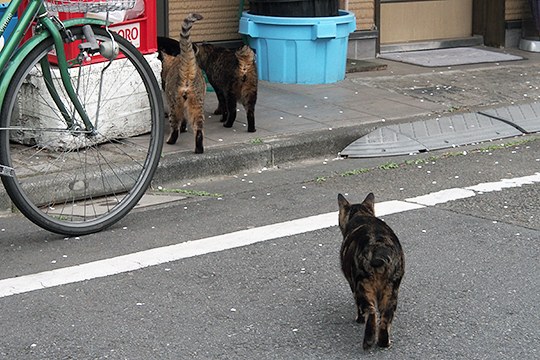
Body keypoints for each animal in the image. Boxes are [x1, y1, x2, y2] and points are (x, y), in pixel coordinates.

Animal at [161, 12, 206, 153]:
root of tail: (187, 71)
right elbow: (185, 118)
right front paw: (184, 126)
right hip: (197, 101)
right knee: (198, 127)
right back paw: (199, 147)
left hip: (175, 102)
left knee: (175, 124)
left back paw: (171, 140)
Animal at [338, 193, 404, 350]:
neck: (362, 215)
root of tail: (379, 249)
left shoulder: (353, 284)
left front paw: (359, 319)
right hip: (391, 291)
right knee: (385, 318)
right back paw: (383, 343)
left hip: (363, 286)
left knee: (371, 312)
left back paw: (368, 342)